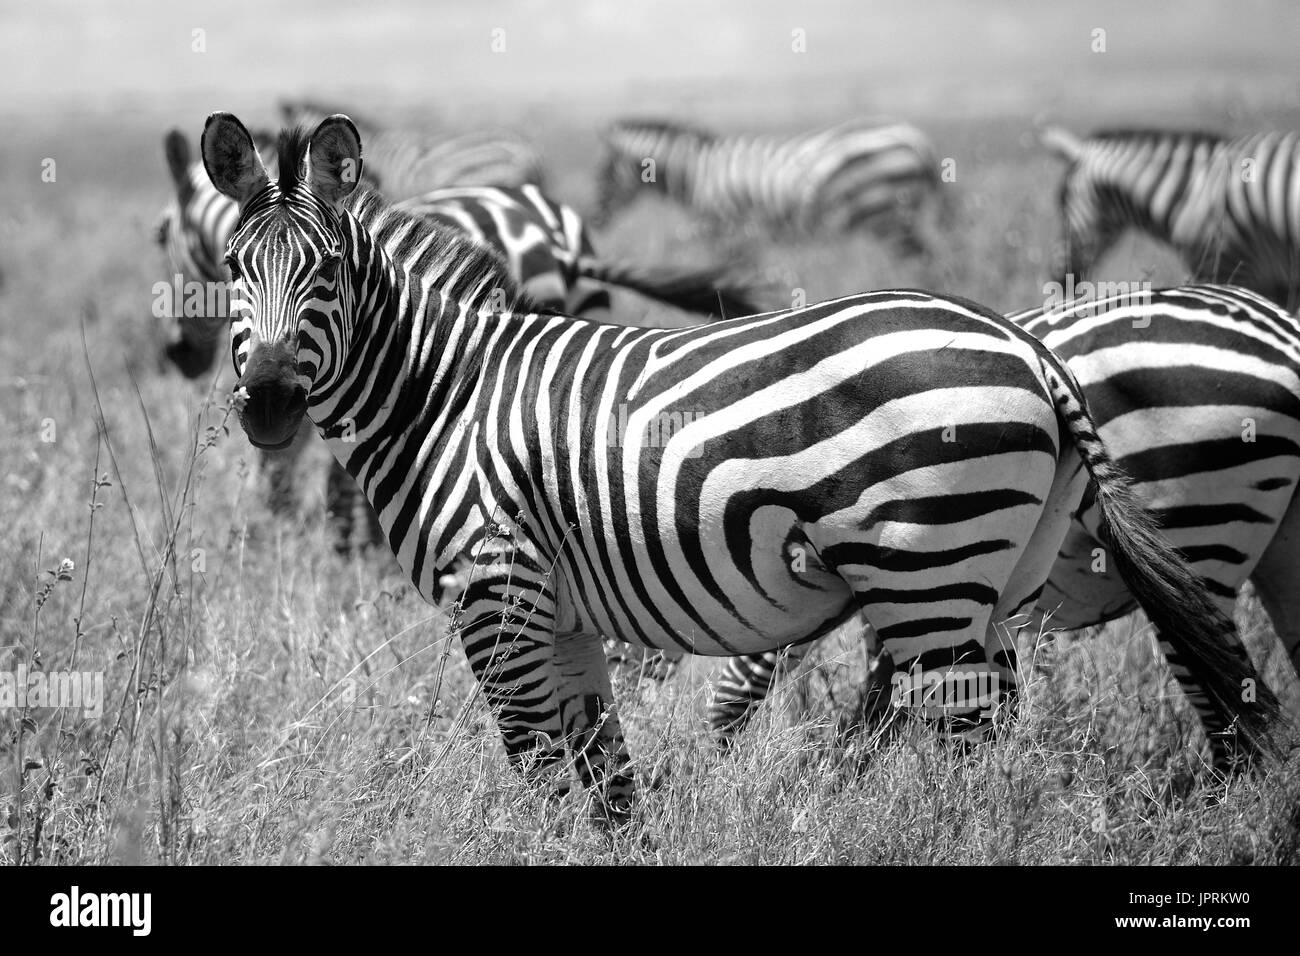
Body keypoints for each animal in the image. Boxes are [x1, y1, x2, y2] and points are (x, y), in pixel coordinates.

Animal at [593, 117, 946, 251]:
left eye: (604, 175)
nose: (596, 222)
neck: (697, 171)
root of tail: (914, 138)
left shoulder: (722, 228)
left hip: (884, 215)